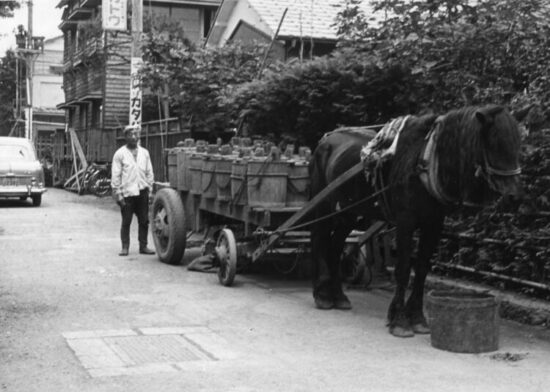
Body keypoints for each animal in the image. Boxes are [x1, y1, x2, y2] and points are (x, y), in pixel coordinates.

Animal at [312, 104, 524, 336]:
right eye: (495, 143)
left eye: (517, 144)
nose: (514, 196)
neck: (425, 161)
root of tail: (325, 140)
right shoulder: (405, 222)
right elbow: (404, 269)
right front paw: (399, 320)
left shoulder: (434, 223)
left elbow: (422, 268)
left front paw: (417, 317)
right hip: (323, 206)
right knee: (319, 239)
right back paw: (321, 295)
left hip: (348, 212)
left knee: (335, 247)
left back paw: (338, 297)